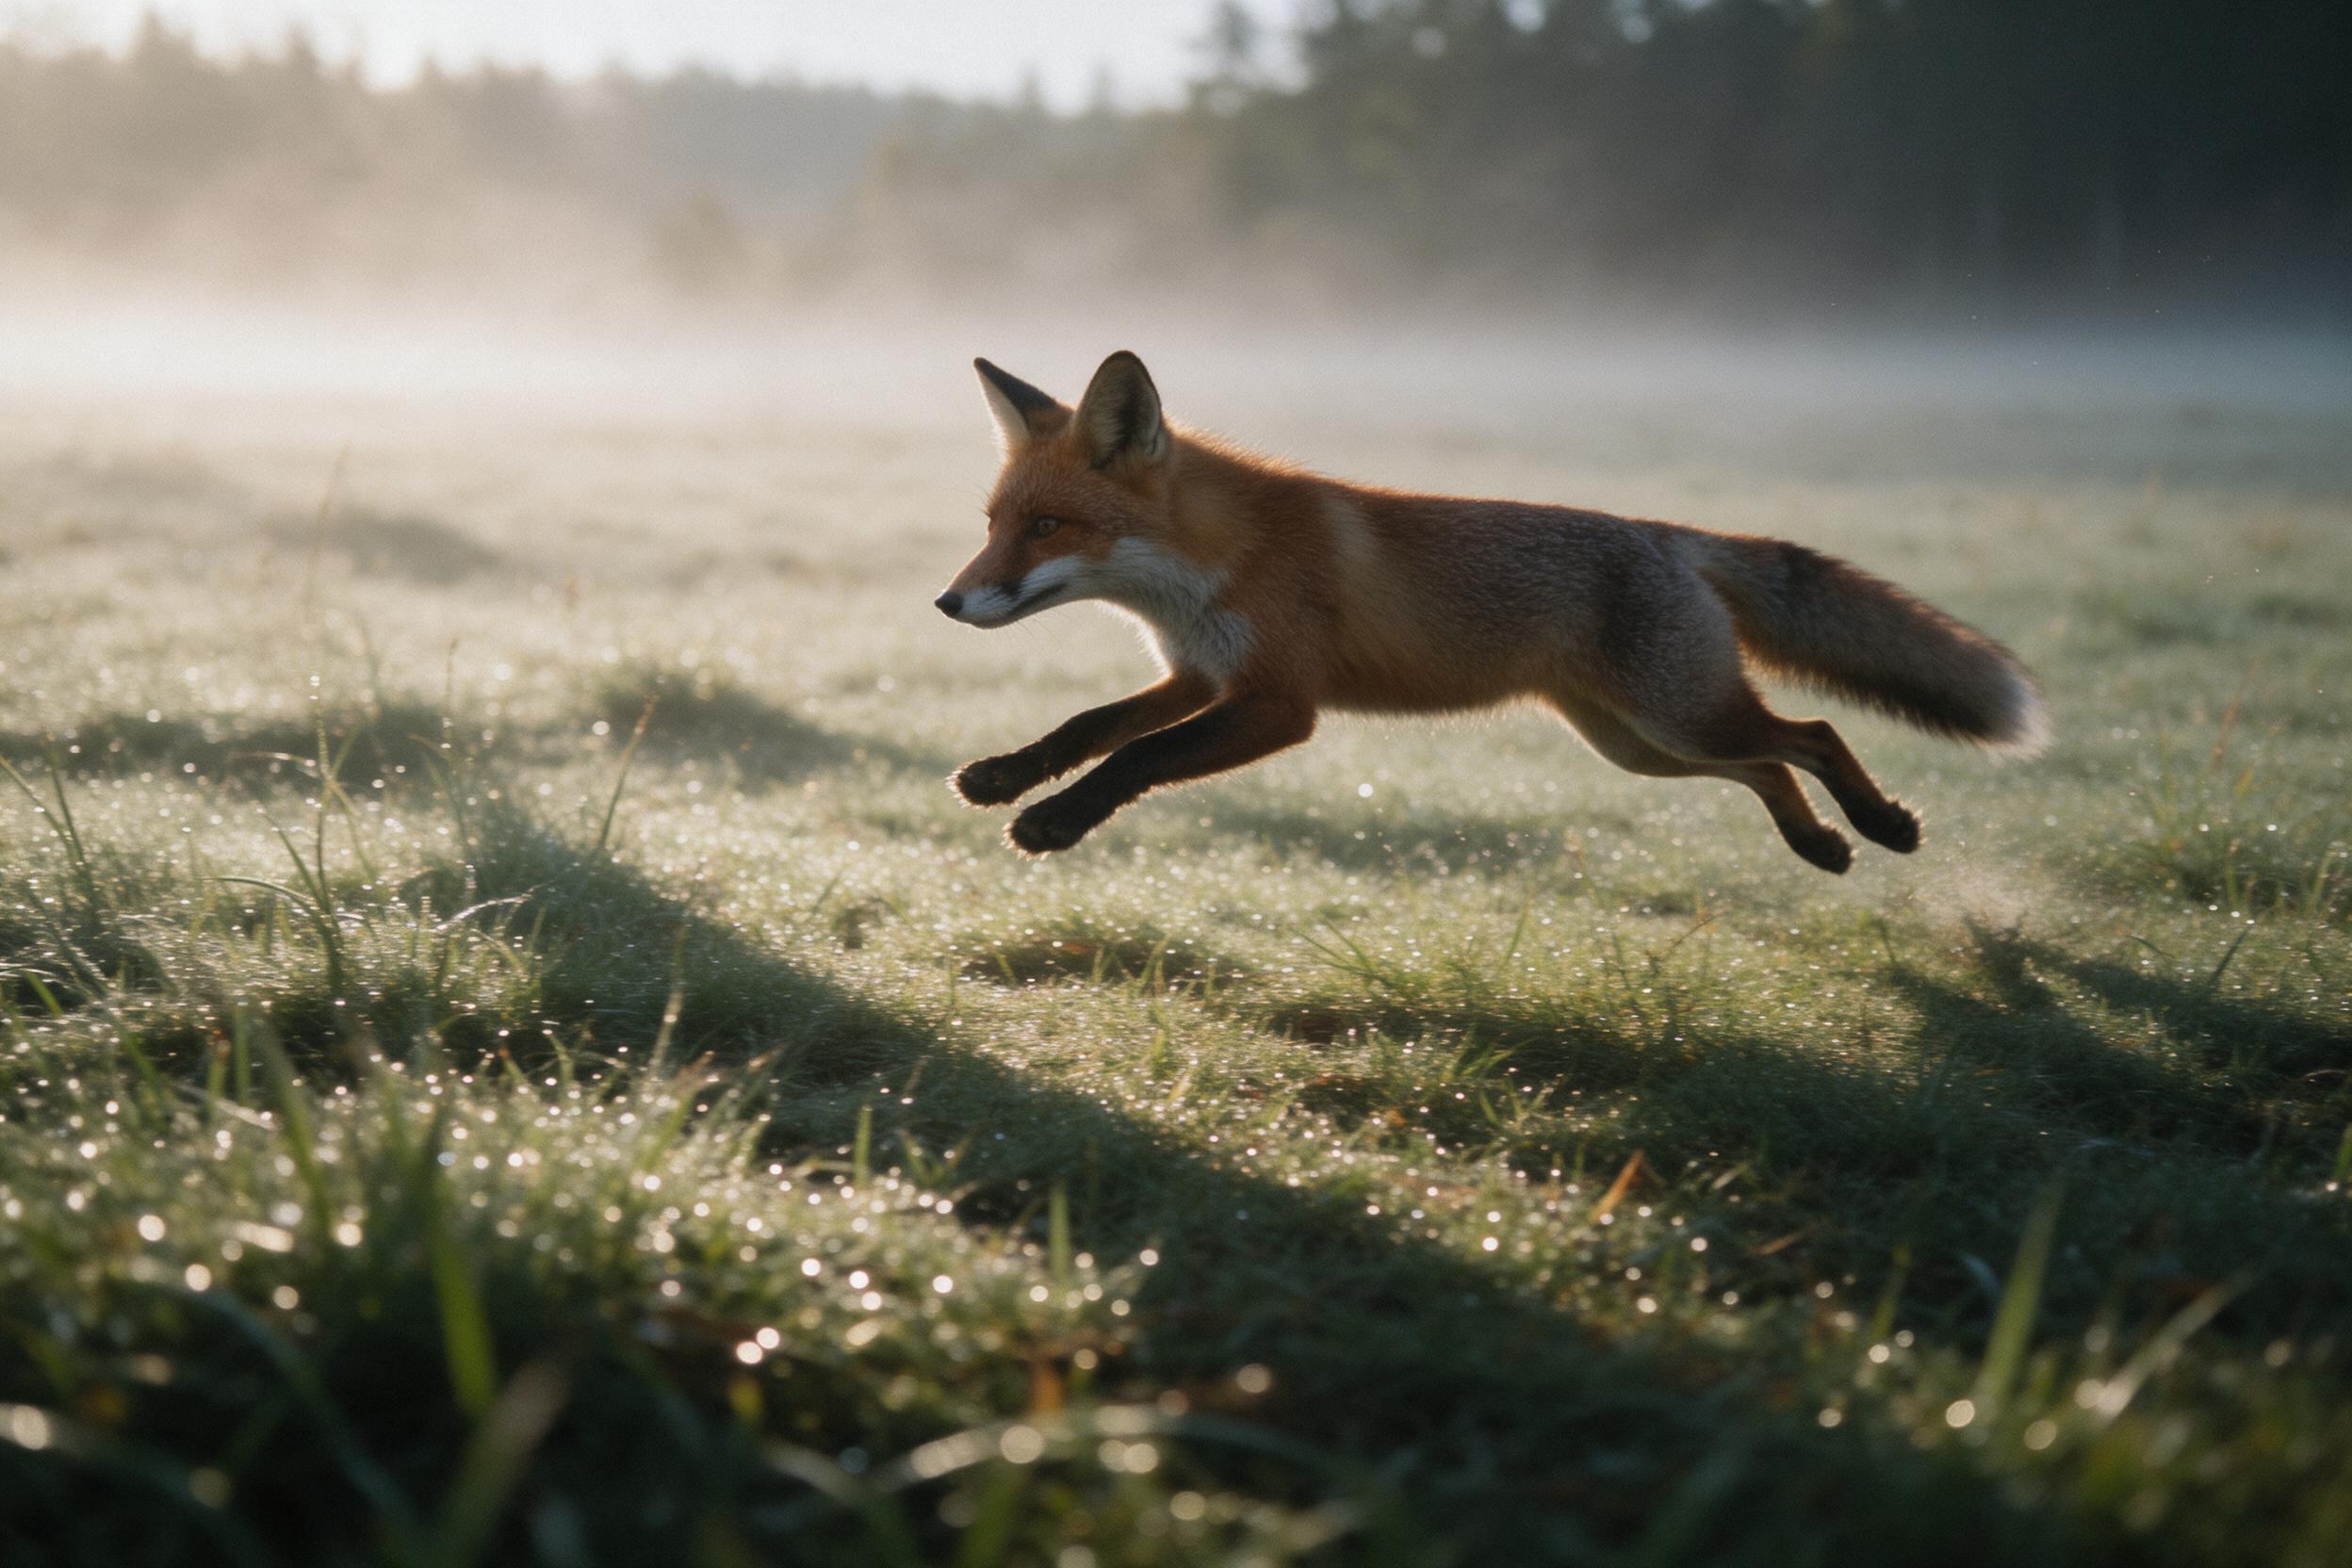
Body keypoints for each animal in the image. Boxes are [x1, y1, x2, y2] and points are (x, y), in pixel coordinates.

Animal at [935, 351, 2047, 871]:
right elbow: (1088, 725)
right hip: (1640, 746)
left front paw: (1056, 820)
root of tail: (1669, 533)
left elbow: (1133, 757)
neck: (1216, 566)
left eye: (1046, 526)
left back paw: (1881, 822)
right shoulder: (1202, 674)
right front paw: (1004, 776)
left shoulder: (1279, 703)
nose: (948, 601)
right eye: (994, 523)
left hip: (1682, 718)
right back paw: (1821, 847)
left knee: (1811, 732)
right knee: (1774, 762)